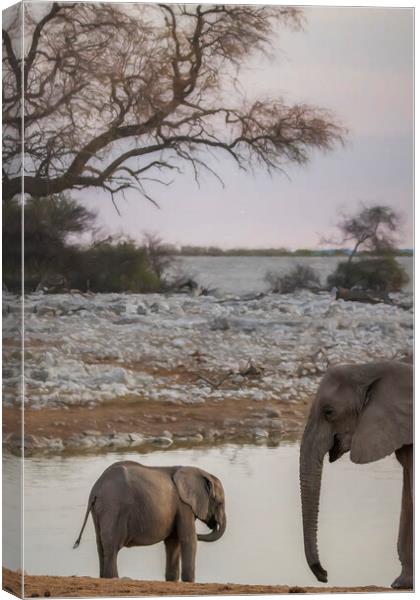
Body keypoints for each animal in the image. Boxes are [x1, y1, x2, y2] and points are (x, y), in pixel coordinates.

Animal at [73, 460, 225, 580]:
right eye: (219, 502)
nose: (213, 524)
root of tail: (96, 489)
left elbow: (173, 541)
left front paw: (172, 580)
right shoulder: (184, 505)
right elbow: (188, 539)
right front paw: (189, 581)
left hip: (99, 510)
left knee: (101, 546)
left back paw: (104, 578)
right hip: (113, 507)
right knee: (111, 548)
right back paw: (113, 579)